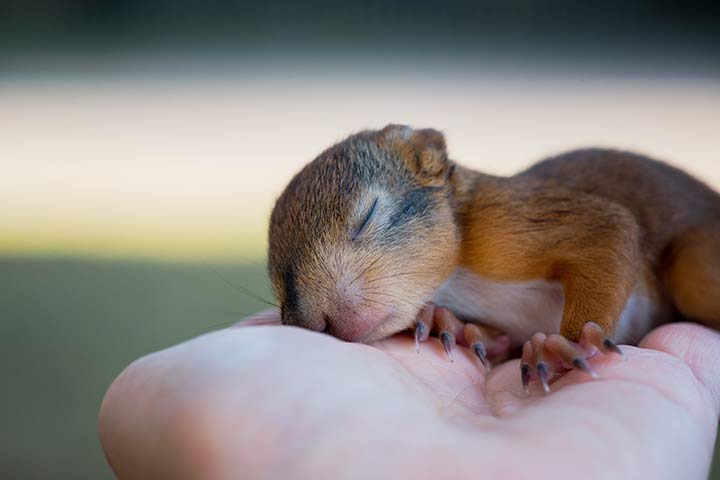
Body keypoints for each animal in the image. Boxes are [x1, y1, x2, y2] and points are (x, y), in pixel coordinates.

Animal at [268, 124, 720, 393]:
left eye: (367, 216)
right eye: (277, 288)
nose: (317, 324)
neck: (454, 281)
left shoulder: (503, 224)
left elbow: (609, 226)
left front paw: (568, 344)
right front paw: (450, 324)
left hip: (695, 272)